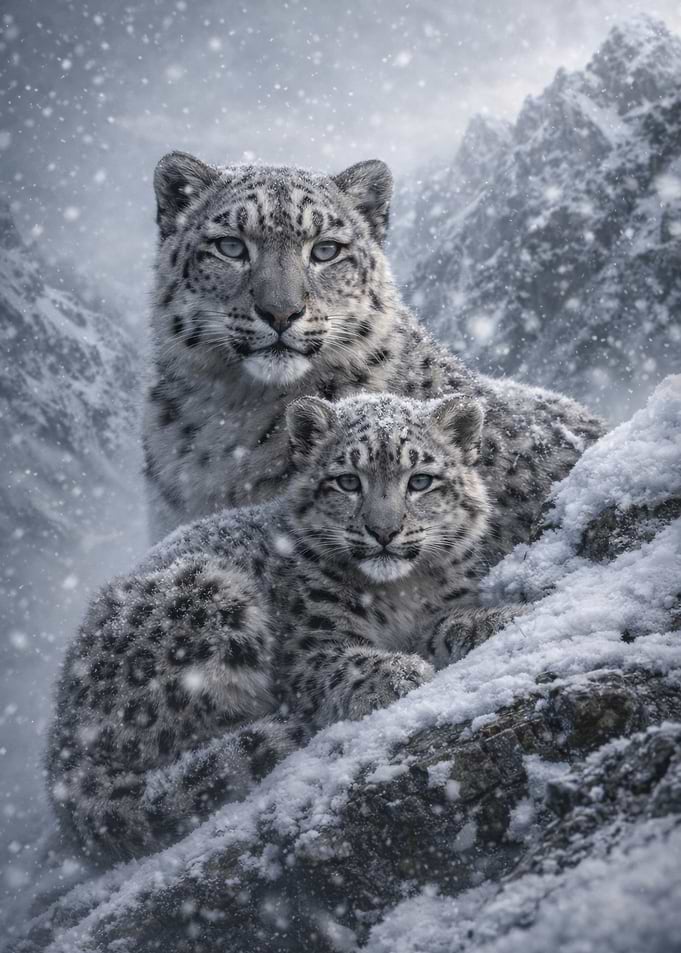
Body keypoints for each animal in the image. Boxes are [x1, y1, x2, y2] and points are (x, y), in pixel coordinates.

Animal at [48, 392, 521, 860]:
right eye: (347, 481)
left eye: (420, 480)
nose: (383, 531)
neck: (400, 592)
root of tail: (60, 744)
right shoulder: (308, 649)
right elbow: (339, 665)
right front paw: (397, 670)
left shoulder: (441, 607)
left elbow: (449, 624)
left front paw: (498, 618)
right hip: (209, 598)